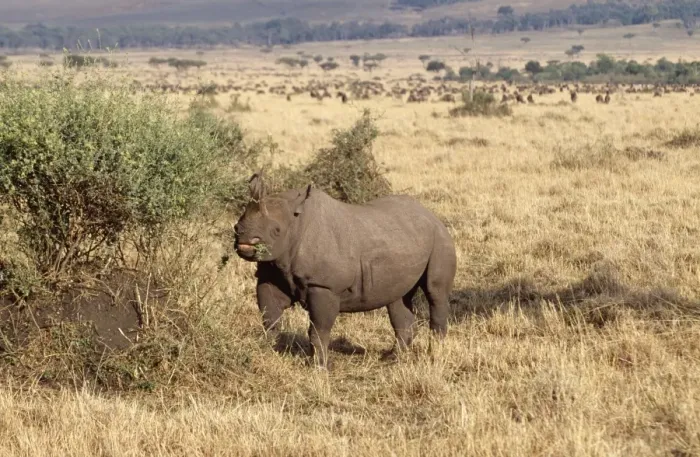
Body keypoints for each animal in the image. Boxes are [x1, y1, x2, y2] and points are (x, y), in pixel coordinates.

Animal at [234, 172, 457, 368]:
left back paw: (434, 356)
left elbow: (318, 330)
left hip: (440, 238)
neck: (295, 222)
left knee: (435, 293)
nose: (245, 239)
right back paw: (393, 358)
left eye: (276, 231)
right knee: (398, 299)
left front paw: (320, 368)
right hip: (405, 239)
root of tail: (431, 214)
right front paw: (266, 355)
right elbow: (270, 320)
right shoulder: (270, 274)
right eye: (236, 227)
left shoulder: (324, 286)